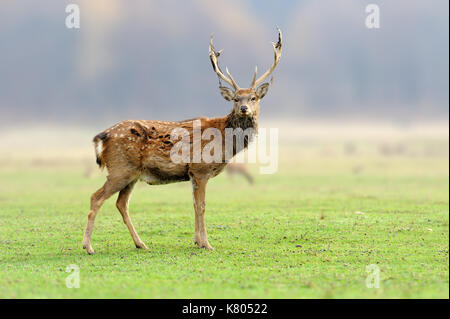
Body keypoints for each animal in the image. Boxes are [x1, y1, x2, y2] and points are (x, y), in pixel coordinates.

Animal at [81, 27, 282, 255]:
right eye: (236, 98)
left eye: (253, 98)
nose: (244, 108)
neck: (224, 141)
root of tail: (102, 136)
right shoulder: (201, 169)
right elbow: (202, 206)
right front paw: (207, 244)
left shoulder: (192, 174)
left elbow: (194, 205)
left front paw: (197, 241)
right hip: (120, 168)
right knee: (96, 198)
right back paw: (88, 246)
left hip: (131, 174)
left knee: (121, 204)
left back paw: (140, 243)